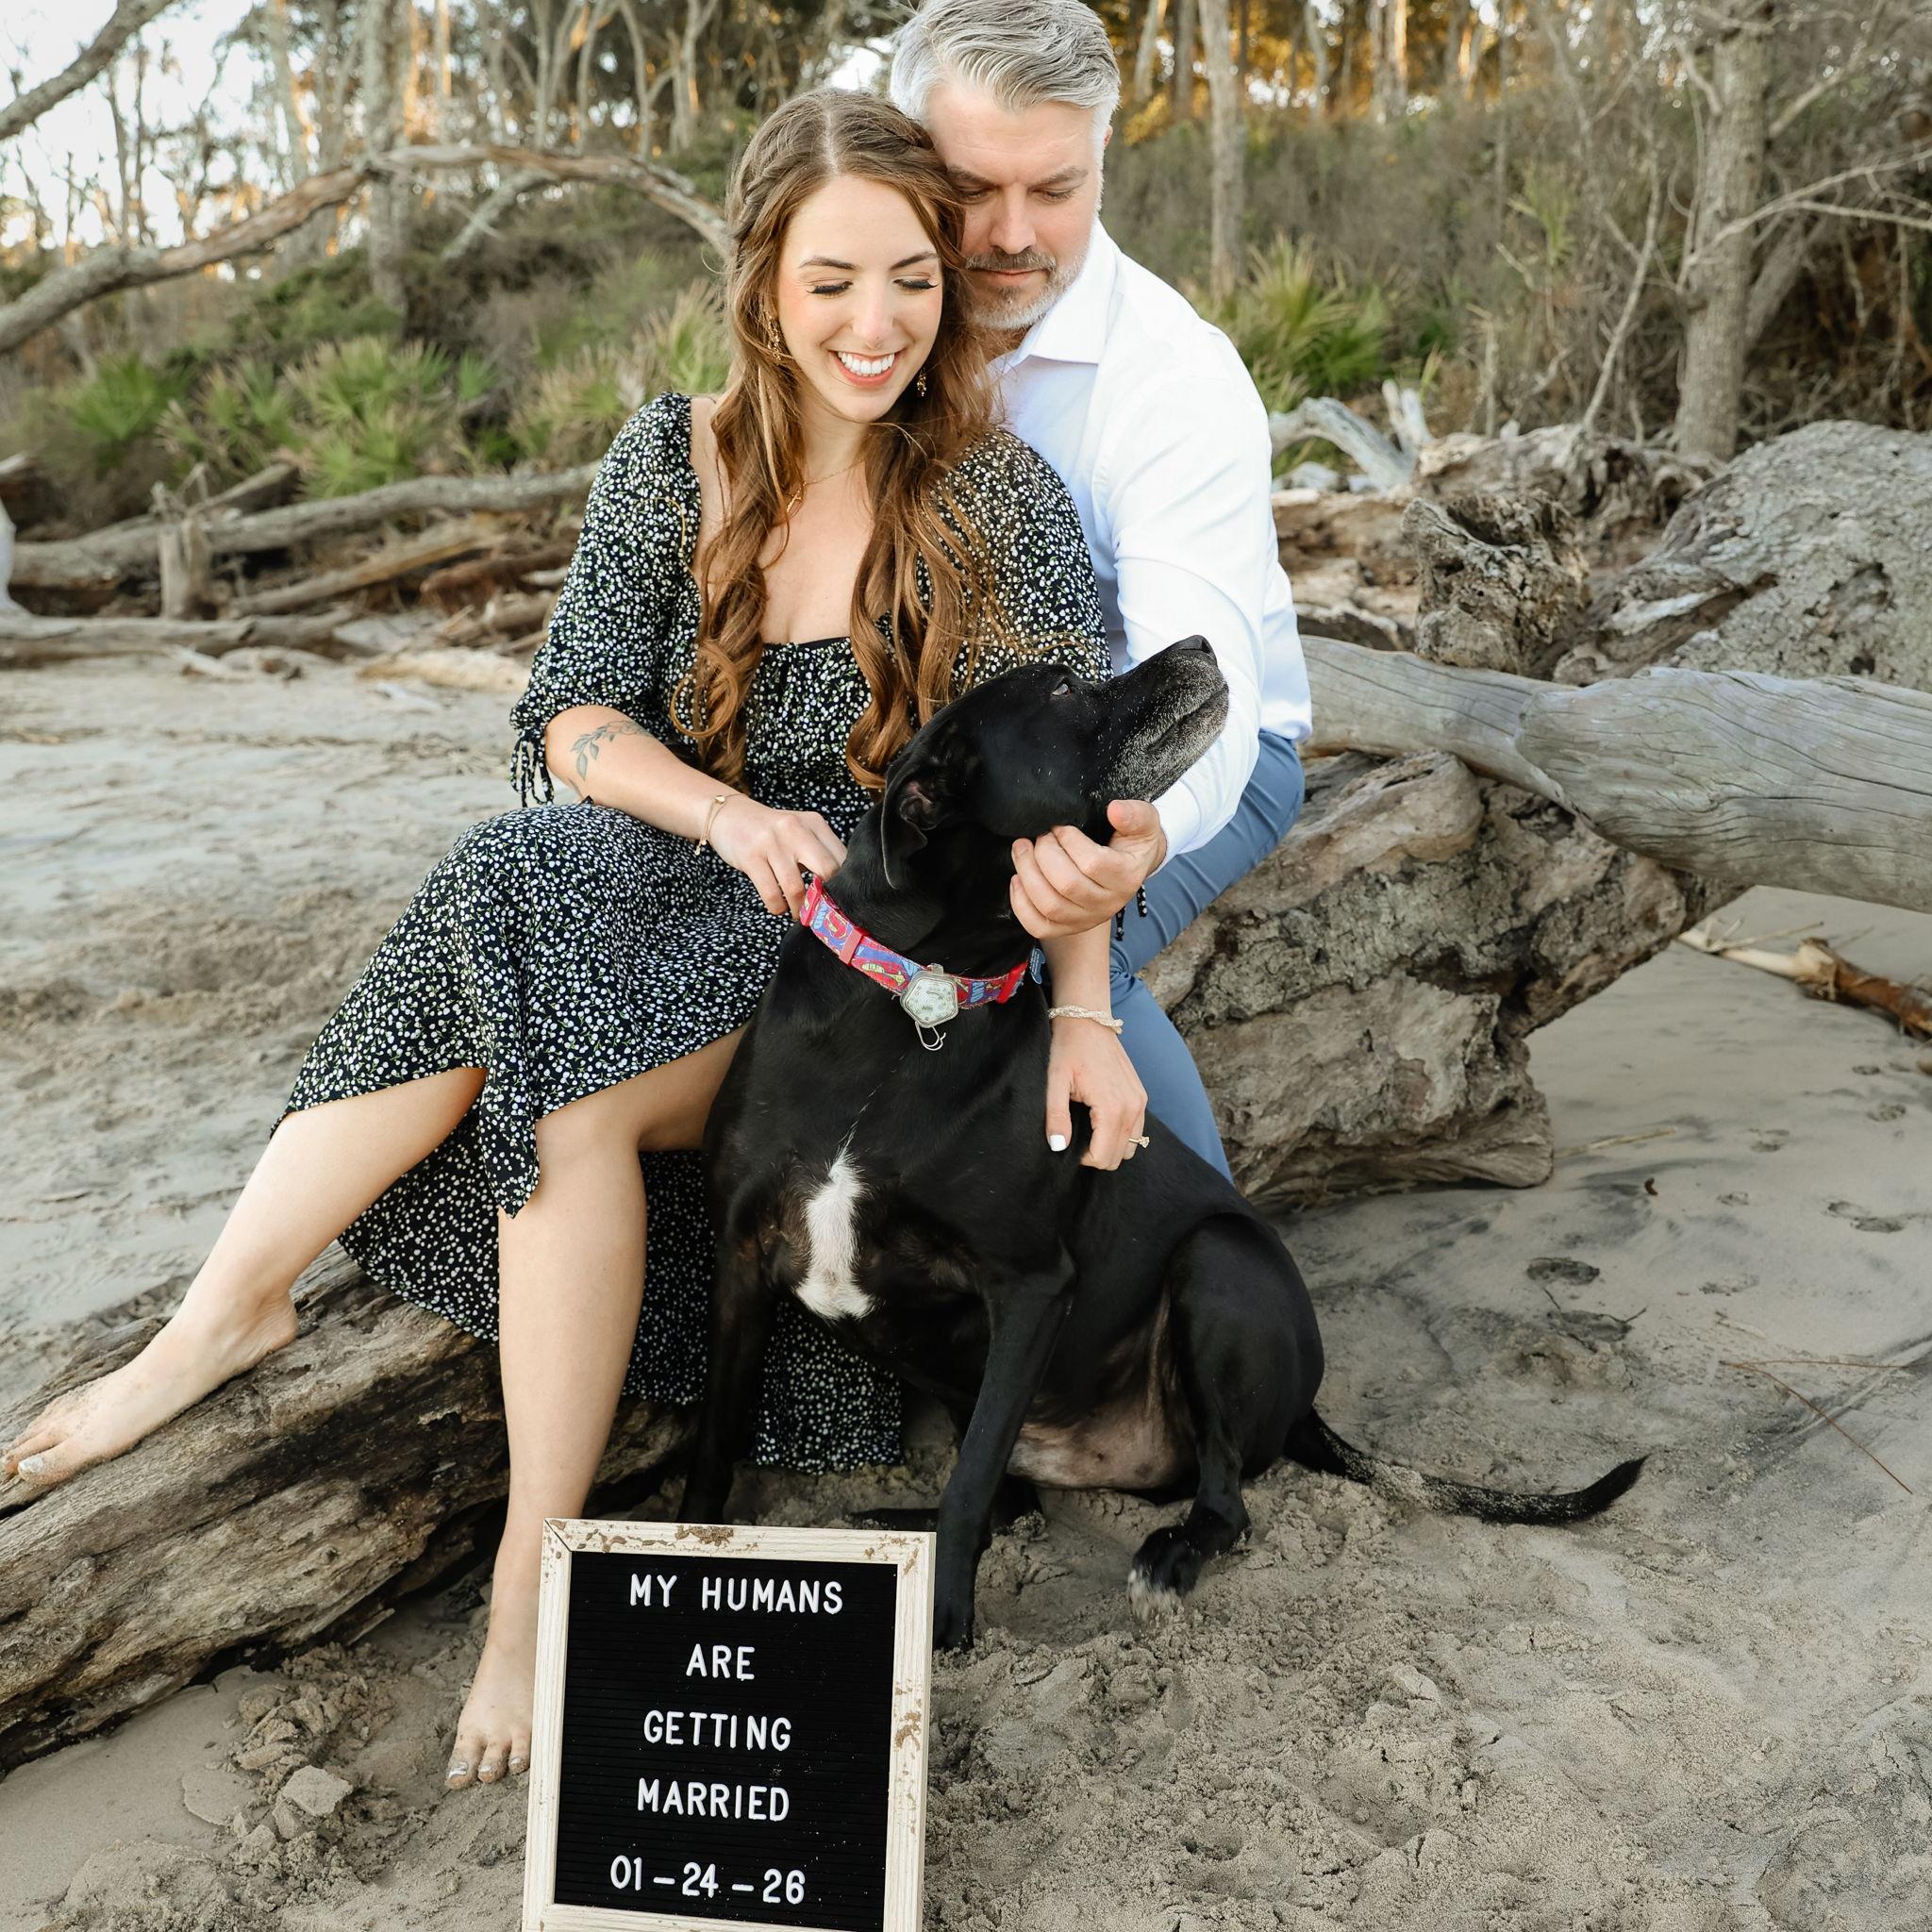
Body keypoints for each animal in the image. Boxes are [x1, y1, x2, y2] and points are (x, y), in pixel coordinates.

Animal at [680, 642, 1642, 1648]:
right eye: (1064, 688)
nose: (1202, 648)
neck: (913, 1002)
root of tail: (1307, 1411)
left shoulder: (1030, 1286)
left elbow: (971, 1483)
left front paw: (943, 1631)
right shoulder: (742, 1261)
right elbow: (716, 1443)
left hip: (1217, 1271)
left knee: (1220, 1500)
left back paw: (1169, 1559)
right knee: (1021, 1500)